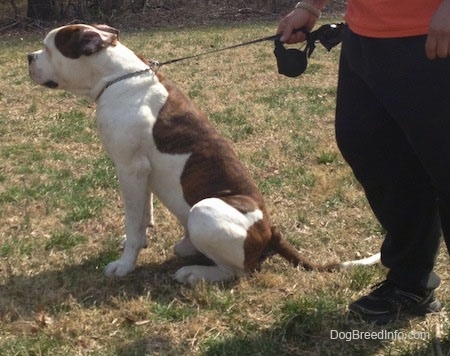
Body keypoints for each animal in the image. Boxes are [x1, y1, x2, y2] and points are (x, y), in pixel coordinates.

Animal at [28, 24, 380, 284]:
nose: (29, 56)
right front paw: (142, 237)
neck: (117, 77)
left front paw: (125, 264)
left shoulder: (129, 168)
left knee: (238, 272)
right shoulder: (139, 172)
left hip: (204, 212)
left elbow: (132, 221)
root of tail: (271, 231)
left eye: (49, 48)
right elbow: (142, 214)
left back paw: (195, 273)